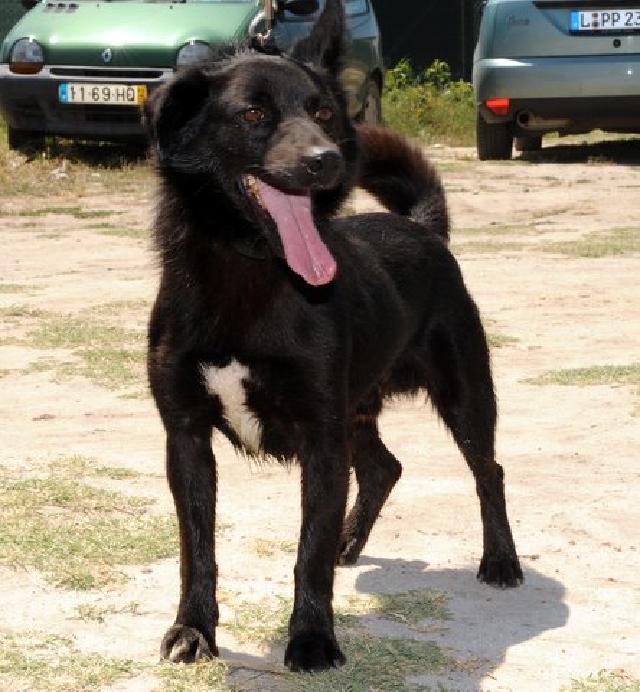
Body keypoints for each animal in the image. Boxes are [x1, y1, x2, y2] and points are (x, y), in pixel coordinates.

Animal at [144, 0, 520, 672]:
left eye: (321, 112)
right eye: (253, 113)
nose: (327, 160)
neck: (250, 272)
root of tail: (423, 227)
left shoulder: (320, 437)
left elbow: (308, 552)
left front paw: (313, 639)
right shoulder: (186, 436)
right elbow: (197, 549)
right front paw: (194, 630)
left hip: (464, 396)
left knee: (489, 472)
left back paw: (500, 560)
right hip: (357, 408)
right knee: (384, 468)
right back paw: (352, 540)